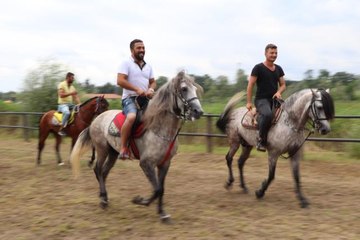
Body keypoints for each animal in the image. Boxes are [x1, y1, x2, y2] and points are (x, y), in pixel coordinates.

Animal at [70, 71, 204, 221]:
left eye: (194, 88)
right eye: (184, 89)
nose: (198, 111)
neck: (159, 129)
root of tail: (95, 120)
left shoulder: (164, 163)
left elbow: (161, 189)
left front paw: (162, 213)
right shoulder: (146, 163)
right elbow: (157, 189)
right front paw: (140, 201)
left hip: (113, 153)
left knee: (103, 173)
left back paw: (105, 198)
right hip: (102, 149)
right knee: (98, 170)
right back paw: (103, 200)